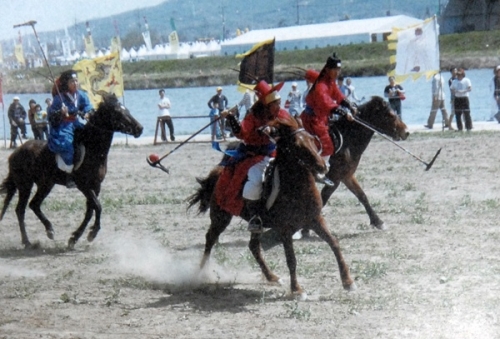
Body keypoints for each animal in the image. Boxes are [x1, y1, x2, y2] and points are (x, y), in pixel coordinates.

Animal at [0, 94, 143, 248]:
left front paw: (75, 237)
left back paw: (49, 230)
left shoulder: (96, 186)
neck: (92, 148)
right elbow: (98, 206)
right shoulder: (83, 185)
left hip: (46, 184)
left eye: (126, 110)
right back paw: (27, 241)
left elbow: (90, 210)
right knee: (20, 210)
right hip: (25, 185)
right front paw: (92, 233)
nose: (140, 128)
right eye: (118, 112)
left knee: (34, 204)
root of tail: (16, 152)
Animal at [188, 116, 356, 298]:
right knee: (210, 238)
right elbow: (291, 258)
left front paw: (348, 281)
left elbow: (334, 244)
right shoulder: (285, 228)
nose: (323, 167)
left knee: (253, 246)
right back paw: (200, 273)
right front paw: (297, 290)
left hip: (254, 225)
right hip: (221, 217)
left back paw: (272, 276)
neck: (297, 188)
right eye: (297, 145)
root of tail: (218, 173)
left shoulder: (315, 219)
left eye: (313, 140)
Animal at [320, 95, 410, 231]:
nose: (406, 131)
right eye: (390, 115)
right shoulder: (334, 177)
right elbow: (323, 198)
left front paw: (378, 221)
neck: (347, 137)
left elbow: (362, 195)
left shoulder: (346, 175)